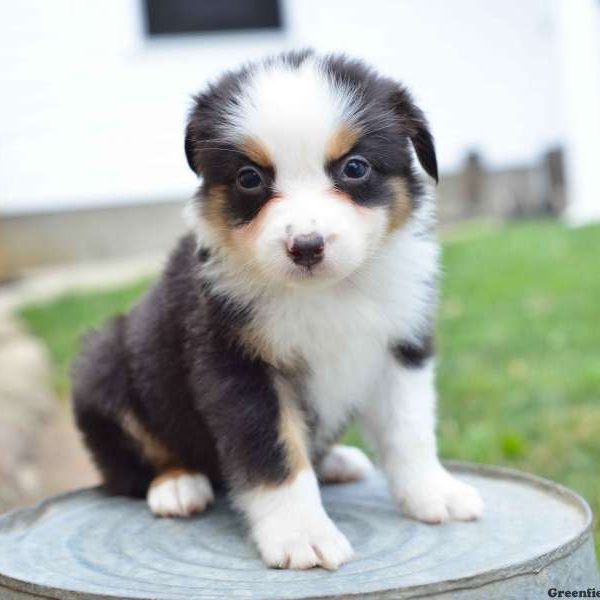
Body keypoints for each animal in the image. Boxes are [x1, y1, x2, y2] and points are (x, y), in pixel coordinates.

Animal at [71, 49, 482, 568]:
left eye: (354, 168)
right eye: (250, 178)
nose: (305, 246)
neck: (328, 294)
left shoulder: (400, 346)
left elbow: (409, 431)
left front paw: (435, 493)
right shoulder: (238, 365)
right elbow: (274, 454)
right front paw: (301, 534)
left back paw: (337, 461)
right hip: (104, 361)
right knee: (130, 466)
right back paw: (178, 485)